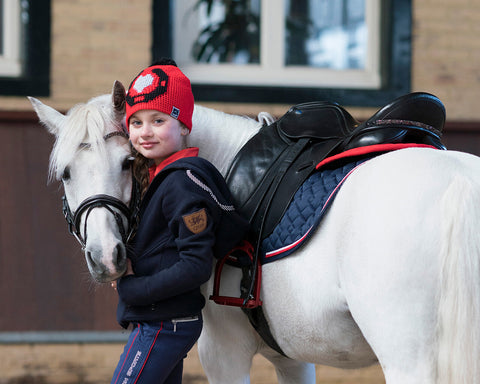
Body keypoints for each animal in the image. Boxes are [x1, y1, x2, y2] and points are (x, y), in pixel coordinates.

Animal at [29, 84, 480, 384]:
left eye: (127, 162)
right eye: (66, 173)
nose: (106, 257)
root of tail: (458, 183)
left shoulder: (223, 352)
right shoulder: (293, 358)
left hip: (409, 359)